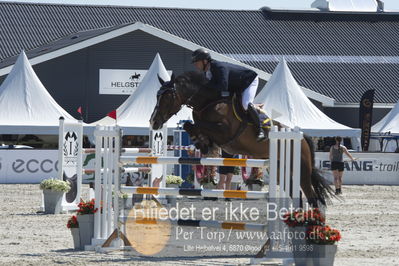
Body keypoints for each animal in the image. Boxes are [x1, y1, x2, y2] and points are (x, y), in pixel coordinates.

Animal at [150, 70, 334, 206]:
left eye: (167, 96)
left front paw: (202, 142)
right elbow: (191, 125)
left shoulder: (224, 130)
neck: (207, 102)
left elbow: (196, 124)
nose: (153, 122)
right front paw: (202, 143)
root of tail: (301, 137)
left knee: (311, 196)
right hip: (282, 170)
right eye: (157, 95)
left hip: (301, 169)